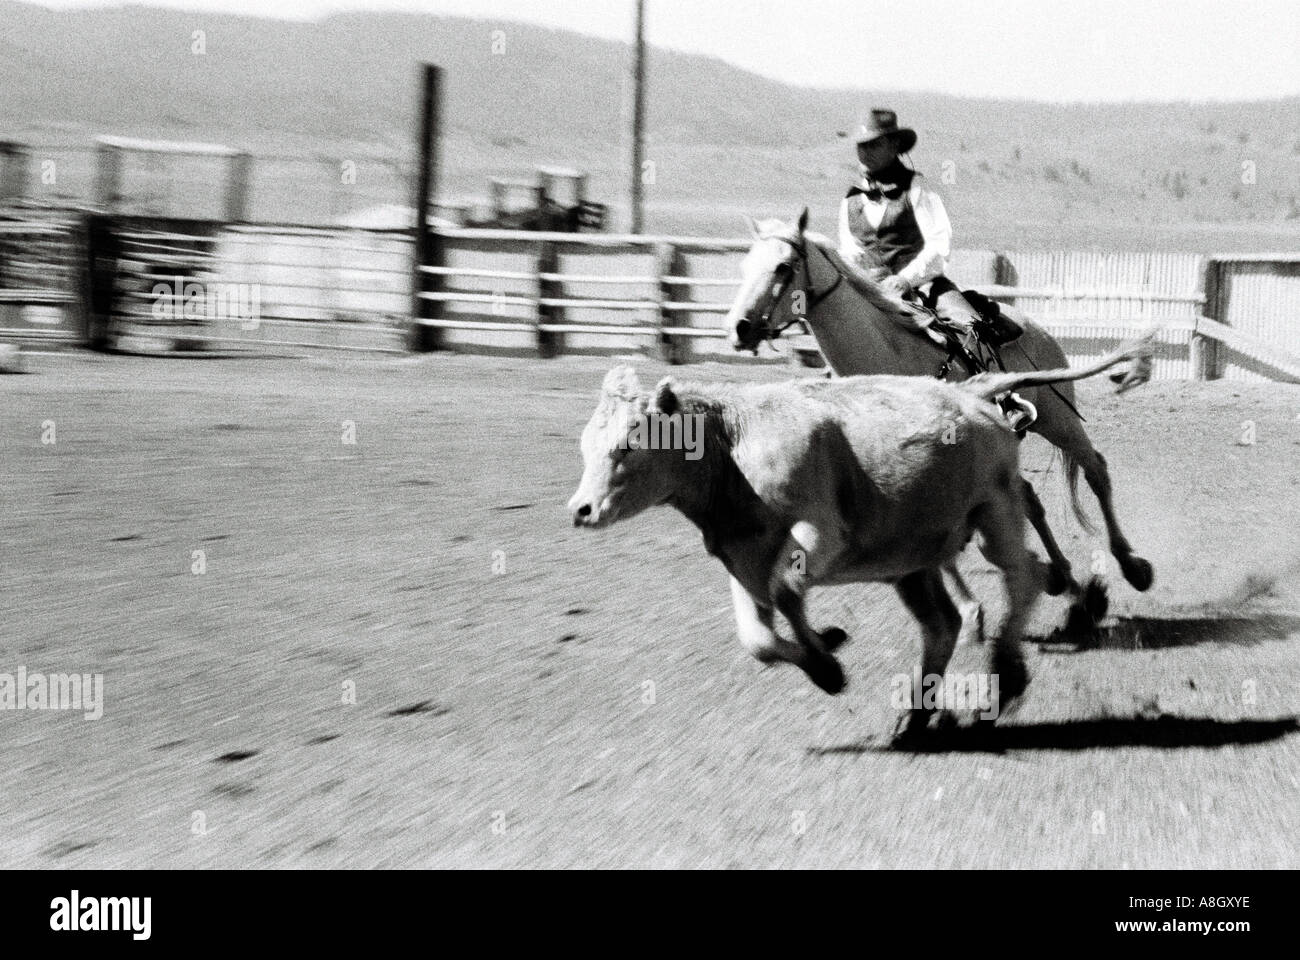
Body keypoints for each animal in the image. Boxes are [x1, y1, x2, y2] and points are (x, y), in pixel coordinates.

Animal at [725, 209, 1154, 641]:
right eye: (744, 266)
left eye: (784, 266)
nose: (739, 327)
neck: (888, 361)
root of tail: (1034, 326)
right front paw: (971, 612)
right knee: (1033, 499)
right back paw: (1068, 585)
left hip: (1059, 419)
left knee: (1095, 469)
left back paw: (1130, 567)